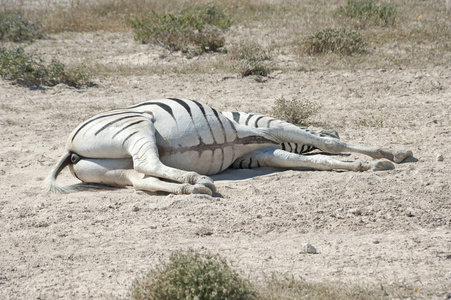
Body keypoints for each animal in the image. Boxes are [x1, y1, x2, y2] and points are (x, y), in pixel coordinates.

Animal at [44, 98, 414, 196]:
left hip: (109, 171)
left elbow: (316, 161)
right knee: (148, 164)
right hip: (138, 126)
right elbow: (329, 143)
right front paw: (387, 156)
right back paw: (197, 180)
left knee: (140, 179)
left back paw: (191, 189)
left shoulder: (263, 153)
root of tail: (70, 147)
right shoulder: (265, 126)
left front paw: (363, 165)